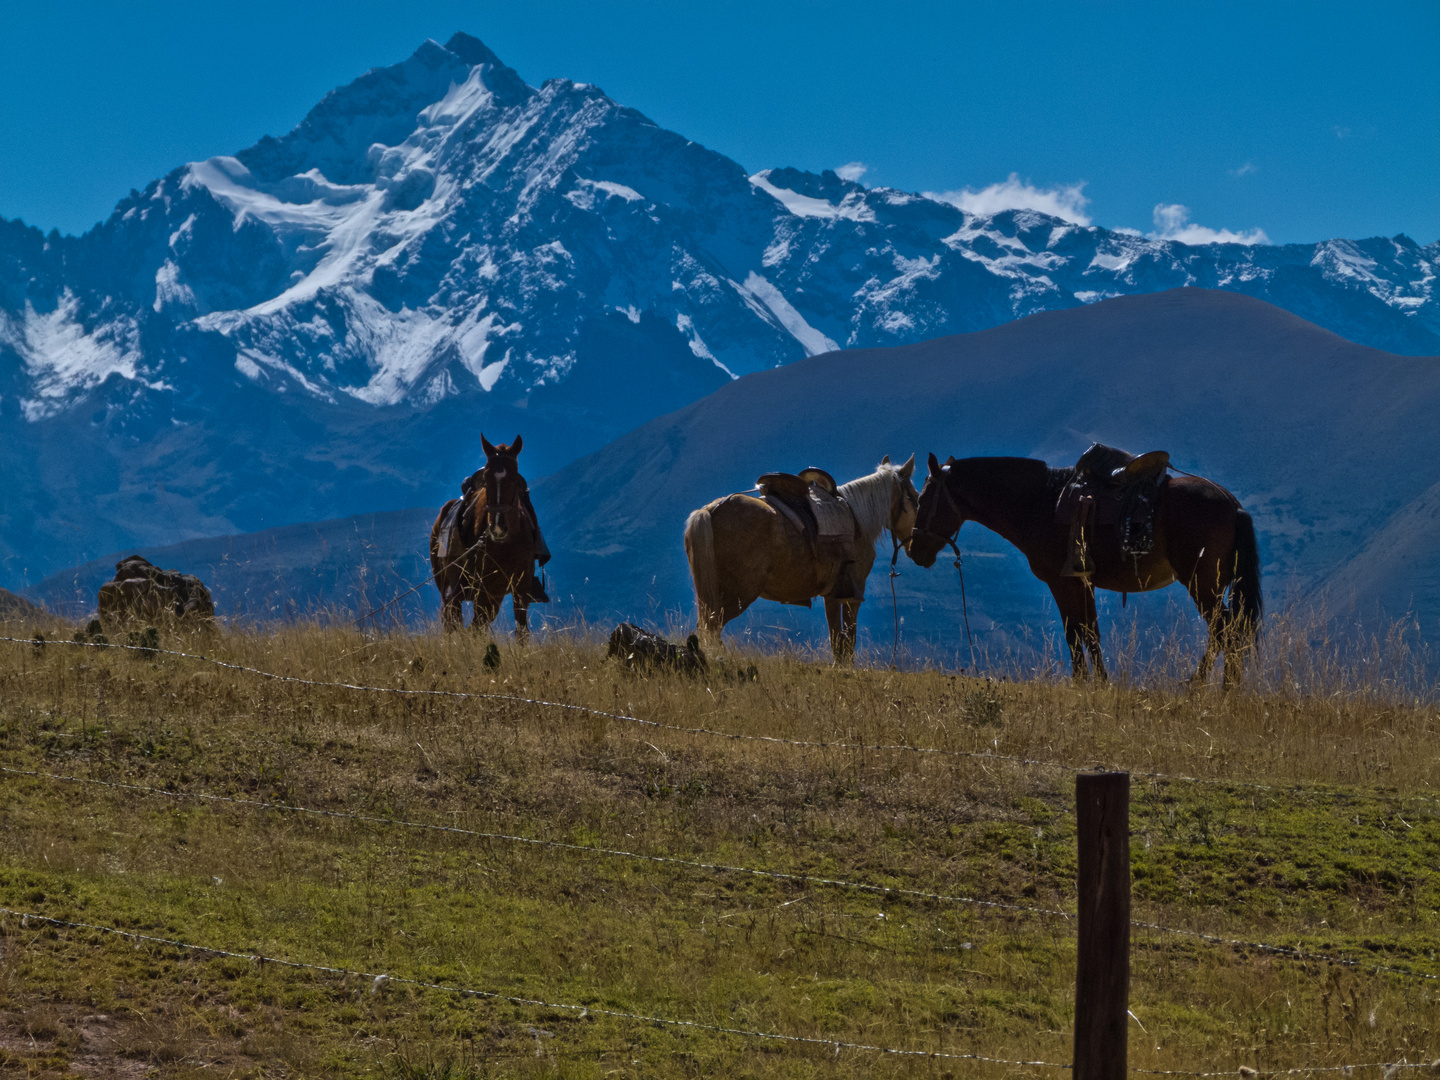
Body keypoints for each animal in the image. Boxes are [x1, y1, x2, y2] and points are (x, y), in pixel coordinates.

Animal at [429, 437, 547, 642]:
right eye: (486, 477)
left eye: (514, 476)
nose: (498, 527)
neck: (505, 545)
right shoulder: (483, 588)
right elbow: (476, 625)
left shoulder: (520, 587)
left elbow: (521, 631)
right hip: (449, 585)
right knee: (453, 618)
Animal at [682, 455, 910, 665]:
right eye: (914, 495)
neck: (857, 519)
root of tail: (710, 510)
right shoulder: (853, 594)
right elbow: (848, 639)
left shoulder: (833, 595)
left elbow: (836, 638)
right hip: (738, 594)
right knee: (712, 627)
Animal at [910, 452, 1261, 688]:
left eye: (923, 499)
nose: (914, 550)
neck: (1040, 503)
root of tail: (1233, 504)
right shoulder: (1083, 583)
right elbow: (1090, 631)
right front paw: (1099, 683)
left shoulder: (1062, 582)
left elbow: (1074, 632)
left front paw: (1081, 682)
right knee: (1229, 631)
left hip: (1201, 583)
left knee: (1226, 632)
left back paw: (1206, 688)